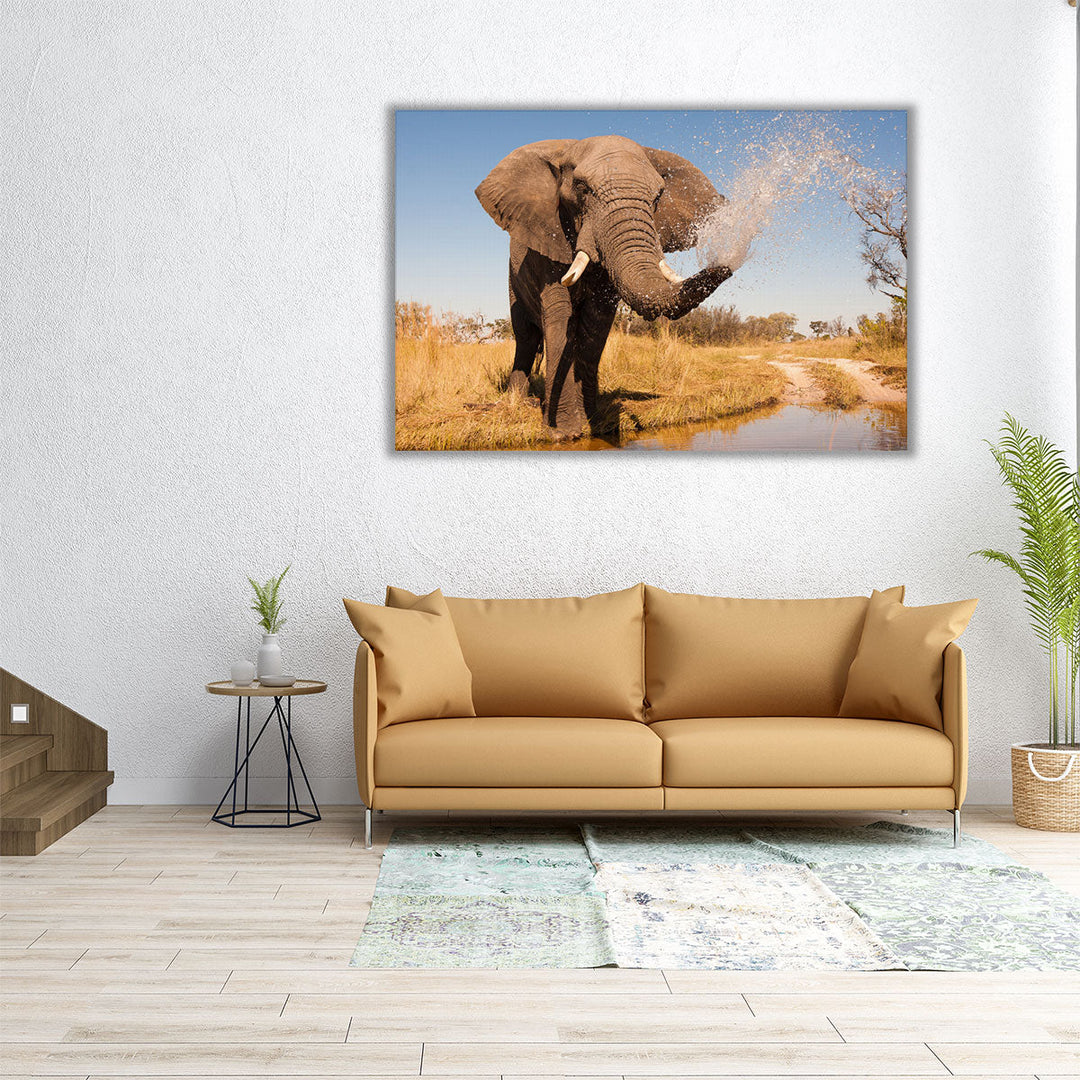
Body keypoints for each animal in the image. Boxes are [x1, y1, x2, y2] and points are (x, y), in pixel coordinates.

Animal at [476, 135, 733, 439]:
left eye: (658, 196)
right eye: (582, 188)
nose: (726, 266)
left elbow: (596, 322)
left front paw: (594, 424)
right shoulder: (548, 238)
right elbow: (559, 315)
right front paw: (563, 433)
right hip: (513, 281)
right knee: (525, 337)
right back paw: (517, 401)